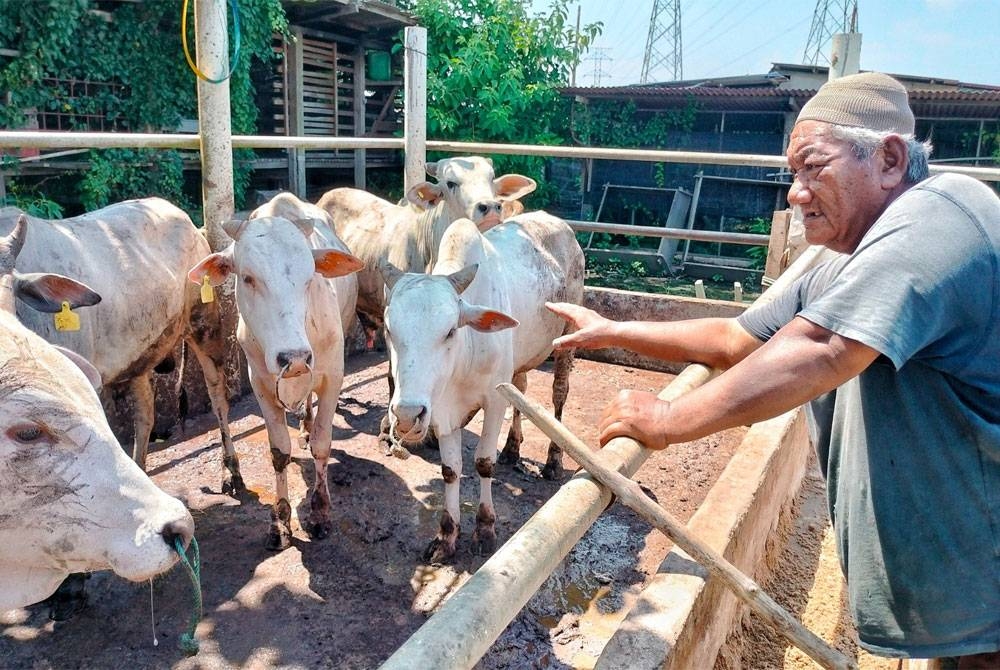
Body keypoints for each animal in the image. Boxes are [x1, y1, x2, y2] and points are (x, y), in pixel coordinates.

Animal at [0, 200, 238, 494]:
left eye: (9, 291)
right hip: (141, 356)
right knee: (145, 414)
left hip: (203, 323)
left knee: (218, 396)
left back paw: (231, 472)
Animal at [188, 194, 364, 552]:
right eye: (248, 278)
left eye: (309, 278)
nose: (293, 358)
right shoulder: (261, 384)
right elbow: (279, 452)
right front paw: (280, 521)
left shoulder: (333, 376)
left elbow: (323, 443)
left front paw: (320, 513)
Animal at [382, 214, 584, 560]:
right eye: (389, 330)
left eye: (450, 330)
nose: (407, 416)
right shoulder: (442, 410)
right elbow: (450, 469)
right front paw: (446, 535)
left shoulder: (493, 401)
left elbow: (483, 463)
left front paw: (485, 528)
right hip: (518, 363)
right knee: (522, 390)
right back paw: (512, 450)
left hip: (566, 339)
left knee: (559, 394)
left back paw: (553, 461)